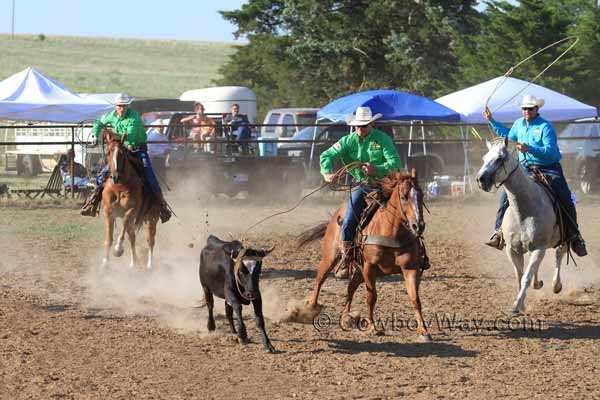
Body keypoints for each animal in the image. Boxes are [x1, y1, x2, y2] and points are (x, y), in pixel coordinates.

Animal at [102, 128, 161, 270]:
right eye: (108, 152)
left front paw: (118, 249)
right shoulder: (108, 211)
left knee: (150, 240)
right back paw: (133, 262)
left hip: (152, 217)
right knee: (132, 237)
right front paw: (105, 262)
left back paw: (149, 264)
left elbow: (124, 223)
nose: (115, 176)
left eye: (122, 154)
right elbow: (109, 237)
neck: (119, 186)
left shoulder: (131, 210)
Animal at [296, 169, 432, 340]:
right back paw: (310, 308)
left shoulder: (410, 268)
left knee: (350, 287)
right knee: (320, 280)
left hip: (359, 271)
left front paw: (423, 331)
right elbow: (371, 297)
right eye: (404, 196)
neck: (391, 232)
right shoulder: (369, 267)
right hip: (330, 258)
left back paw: (346, 317)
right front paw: (372, 327)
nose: (418, 226)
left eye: (421, 195)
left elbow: (415, 299)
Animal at [474, 138, 568, 316]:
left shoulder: (539, 248)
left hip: (564, 238)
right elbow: (520, 275)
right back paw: (538, 283)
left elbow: (525, 277)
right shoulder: (512, 250)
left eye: (500, 158)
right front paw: (521, 305)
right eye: (483, 158)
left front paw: (517, 305)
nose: (481, 179)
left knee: (560, 253)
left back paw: (556, 285)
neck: (524, 210)